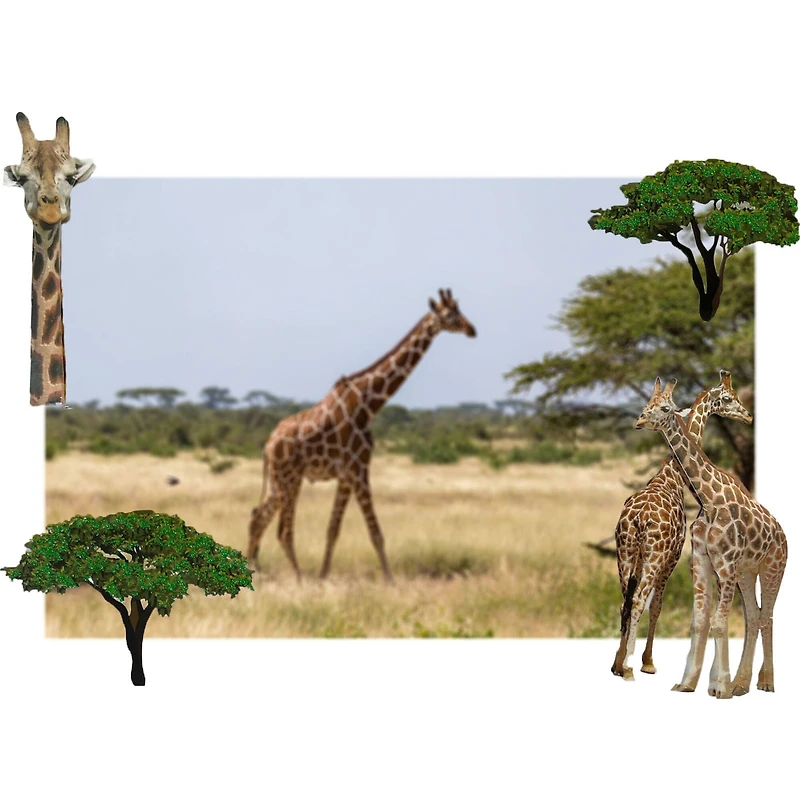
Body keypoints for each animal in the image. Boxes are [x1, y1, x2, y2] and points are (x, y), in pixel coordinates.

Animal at [247, 288, 477, 583]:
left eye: (460, 310)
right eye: (449, 314)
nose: (472, 329)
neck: (368, 405)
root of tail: (268, 444)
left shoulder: (347, 475)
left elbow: (333, 530)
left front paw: (323, 577)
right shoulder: (358, 469)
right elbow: (375, 533)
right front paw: (390, 581)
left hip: (278, 481)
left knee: (257, 519)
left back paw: (252, 572)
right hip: (290, 478)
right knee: (283, 531)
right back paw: (297, 579)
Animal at [611, 370, 752, 681]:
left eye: (658, 405)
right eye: (728, 398)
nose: (748, 415)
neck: (672, 477)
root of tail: (639, 519)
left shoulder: (640, 559)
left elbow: (632, 603)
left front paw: (618, 660)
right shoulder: (673, 556)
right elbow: (656, 605)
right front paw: (647, 662)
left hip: (624, 553)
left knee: (625, 600)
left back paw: (618, 665)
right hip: (653, 557)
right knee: (640, 601)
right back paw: (630, 668)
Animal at [634, 378, 787, 699]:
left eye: (664, 408)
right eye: (648, 405)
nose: (639, 421)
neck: (709, 499)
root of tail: (784, 534)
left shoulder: (725, 564)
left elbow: (718, 621)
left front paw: (718, 686)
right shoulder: (701, 560)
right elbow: (700, 620)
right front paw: (688, 683)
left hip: (772, 568)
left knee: (766, 615)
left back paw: (765, 682)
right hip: (746, 573)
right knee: (754, 616)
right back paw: (742, 684)